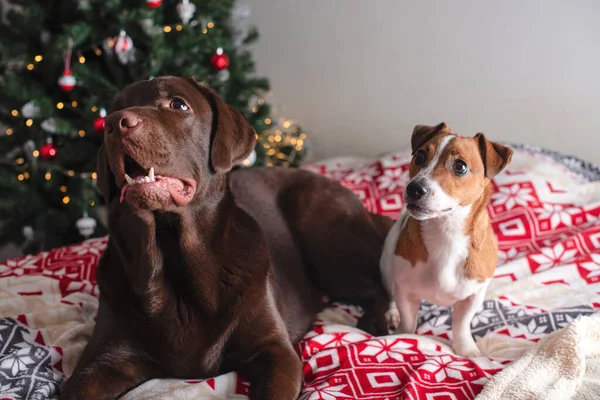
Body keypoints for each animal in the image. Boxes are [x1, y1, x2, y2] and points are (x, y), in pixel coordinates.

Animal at [59, 76, 390, 400]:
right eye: (113, 111)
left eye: (177, 104)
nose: (115, 123)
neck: (172, 256)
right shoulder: (101, 362)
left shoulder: (275, 351)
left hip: (320, 229)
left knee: (379, 283)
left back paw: (376, 321)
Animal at [382, 122, 512, 356]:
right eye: (420, 156)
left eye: (460, 166)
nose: (414, 188)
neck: (445, 232)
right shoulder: (404, 289)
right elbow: (408, 320)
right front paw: (402, 336)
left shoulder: (473, 295)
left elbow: (461, 325)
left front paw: (467, 350)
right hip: (386, 265)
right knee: (390, 295)